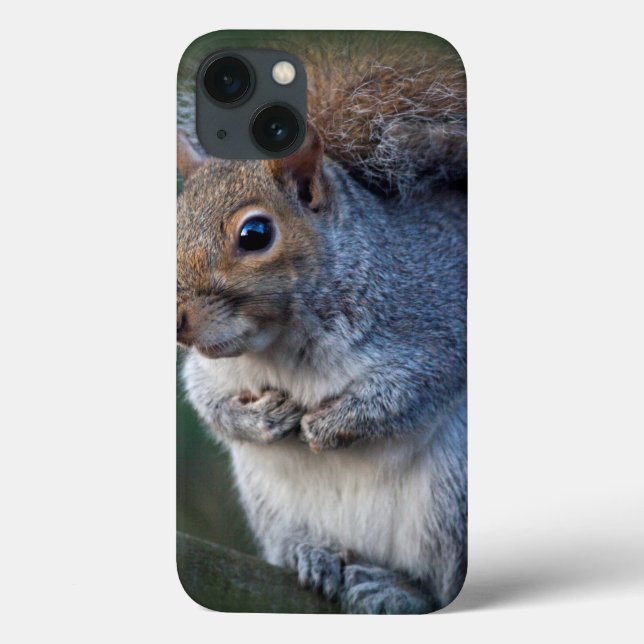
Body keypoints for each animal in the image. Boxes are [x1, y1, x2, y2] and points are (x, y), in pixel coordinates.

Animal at [177, 32, 467, 614]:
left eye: (255, 233)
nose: (175, 320)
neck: (279, 344)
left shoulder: (438, 316)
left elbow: (418, 387)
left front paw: (327, 424)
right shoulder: (207, 369)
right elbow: (206, 400)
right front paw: (261, 419)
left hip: (454, 493)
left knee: (441, 584)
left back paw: (398, 589)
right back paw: (313, 555)